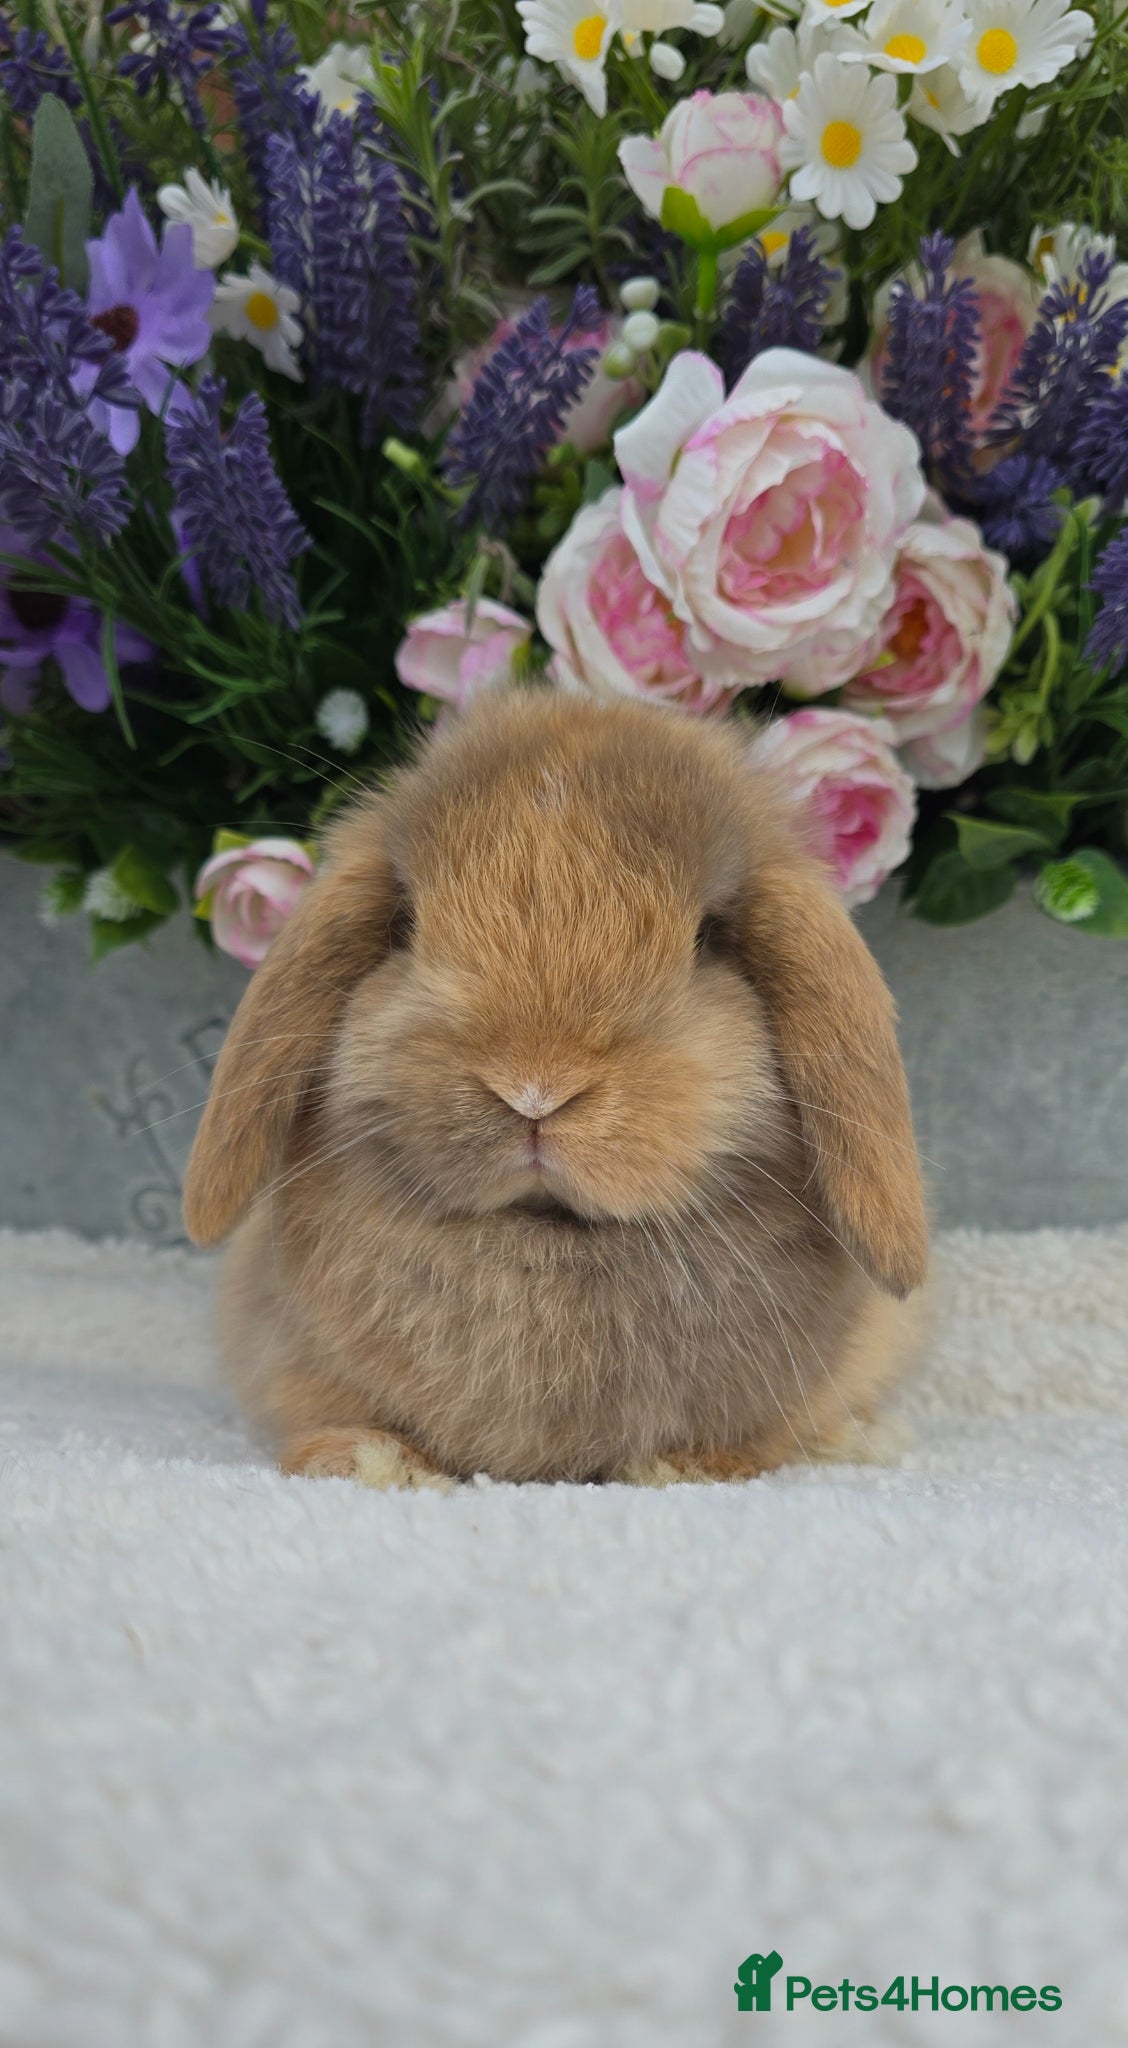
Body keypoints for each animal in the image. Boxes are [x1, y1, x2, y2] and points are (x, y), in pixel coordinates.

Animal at [183, 685, 928, 1490]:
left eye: (708, 939)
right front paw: (369, 1460)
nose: (534, 1091)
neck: (546, 1238)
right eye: (405, 925)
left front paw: (684, 1469)